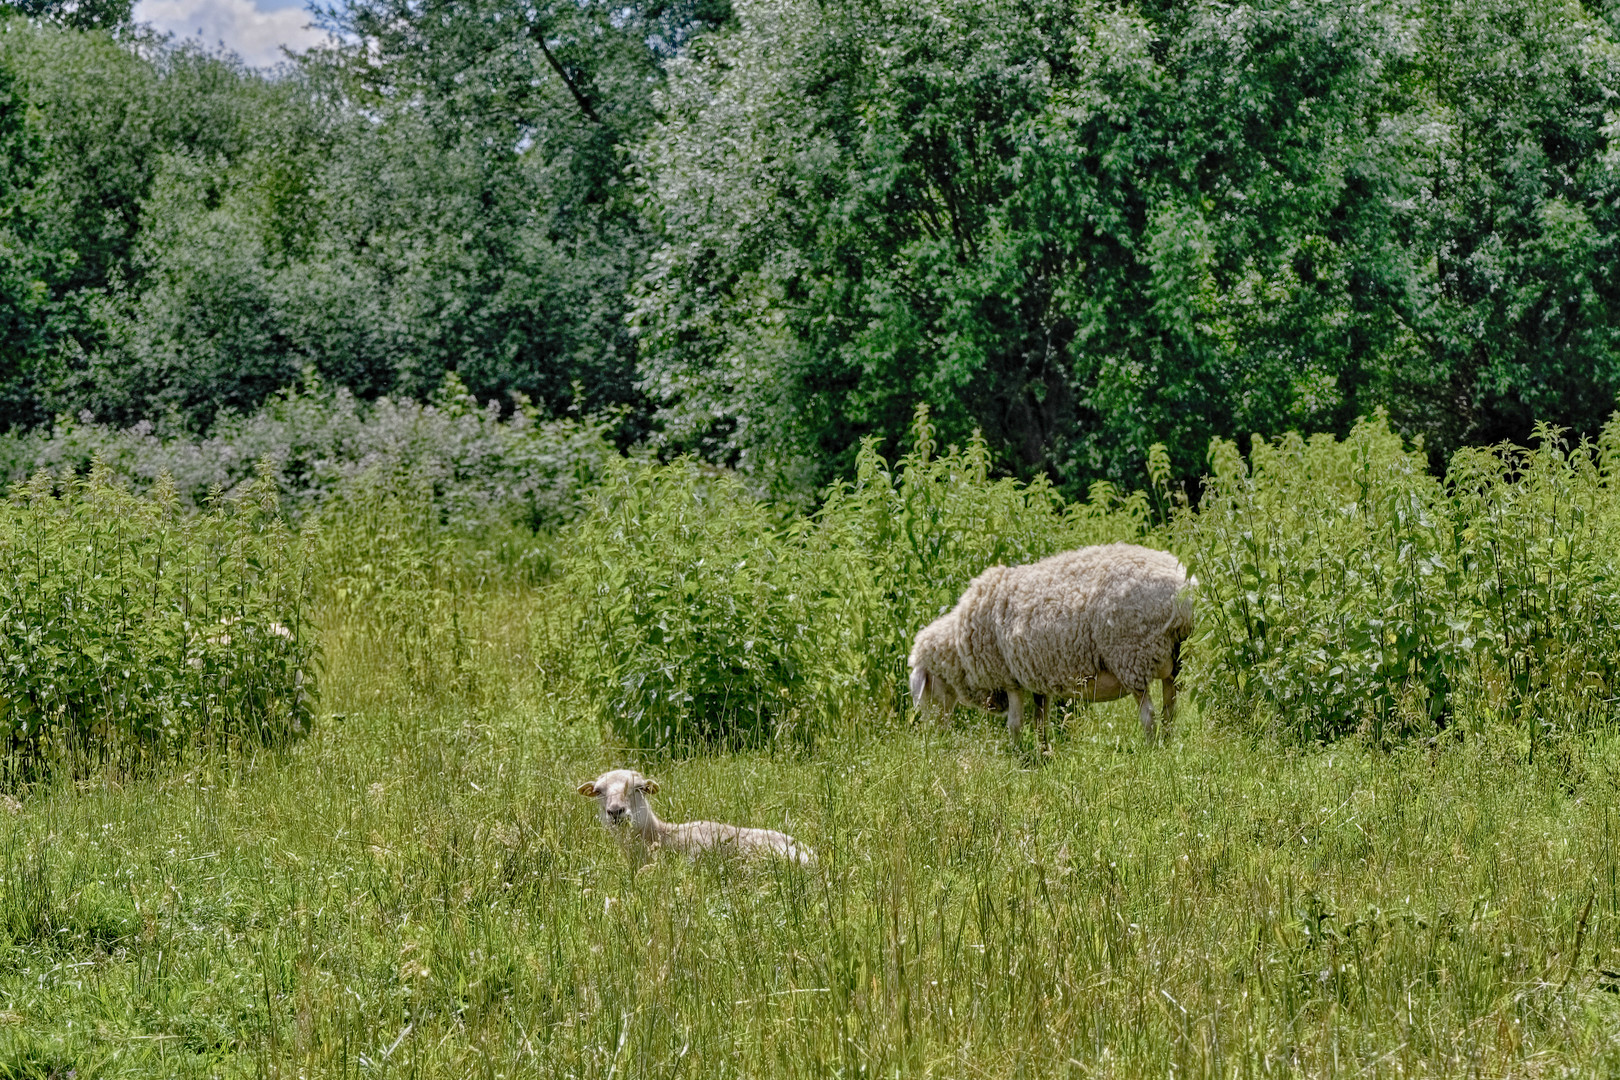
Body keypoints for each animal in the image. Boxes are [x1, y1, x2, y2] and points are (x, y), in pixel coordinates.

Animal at [907, 540, 1198, 744]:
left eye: (927, 688)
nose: (934, 736)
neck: (959, 650)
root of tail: (1184, 593)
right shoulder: (1037, 678)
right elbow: (1040, 722)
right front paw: (1043, 753)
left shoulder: (1009, 678)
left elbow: (1014, 724)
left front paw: (1018, 756)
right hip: (1176, 660)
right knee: (1170, 710)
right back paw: (1167, 745)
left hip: (1131, 654)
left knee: (1148, 716)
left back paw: (1151, 750)